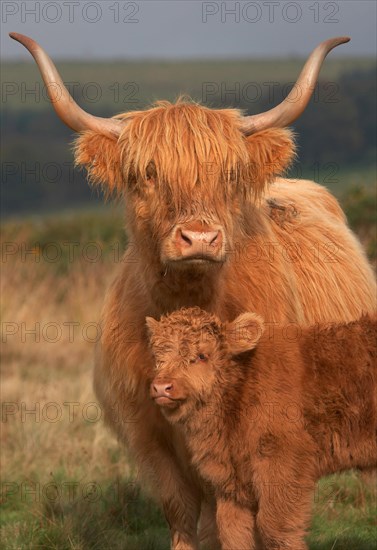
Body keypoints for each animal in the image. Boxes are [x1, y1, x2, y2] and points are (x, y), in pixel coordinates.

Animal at [147, 308, 376, 548]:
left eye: (202, 355)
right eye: (157, 356)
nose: (162, 387)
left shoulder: (282, 467)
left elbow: (275, 528)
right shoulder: (231, 484)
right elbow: (233, 532)